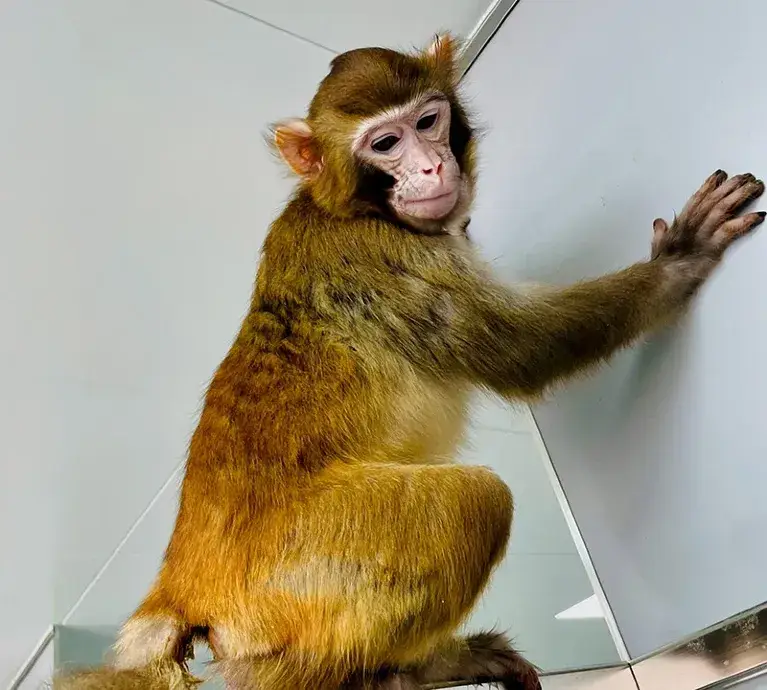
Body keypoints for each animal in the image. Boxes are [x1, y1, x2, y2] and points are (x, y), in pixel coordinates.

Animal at [52, 32, 765, 690]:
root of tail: (182, 589)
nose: (429, 167)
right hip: (304, 572)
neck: (350, 208)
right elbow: (522, 350)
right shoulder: (384, 257)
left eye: (427, 122)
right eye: (385, 144)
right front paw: (677, 264)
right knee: (477, 499)